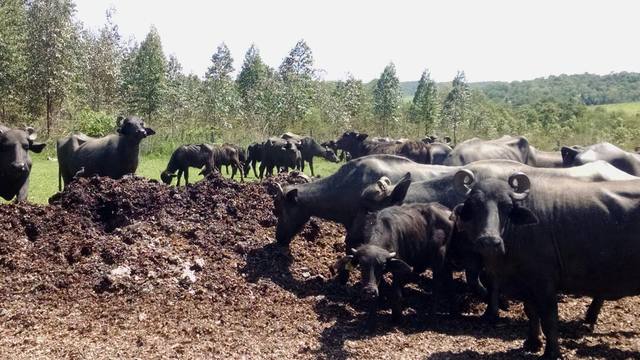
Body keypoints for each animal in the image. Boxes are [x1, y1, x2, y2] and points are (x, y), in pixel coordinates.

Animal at [452, 169, 640, 358]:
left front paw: (551, 352)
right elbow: (531, 312)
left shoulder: (544, 283)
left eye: (507, 207)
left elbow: (549, 317)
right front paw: (533, 343)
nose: (489, 242)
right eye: (474, 206)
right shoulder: (526, 283)